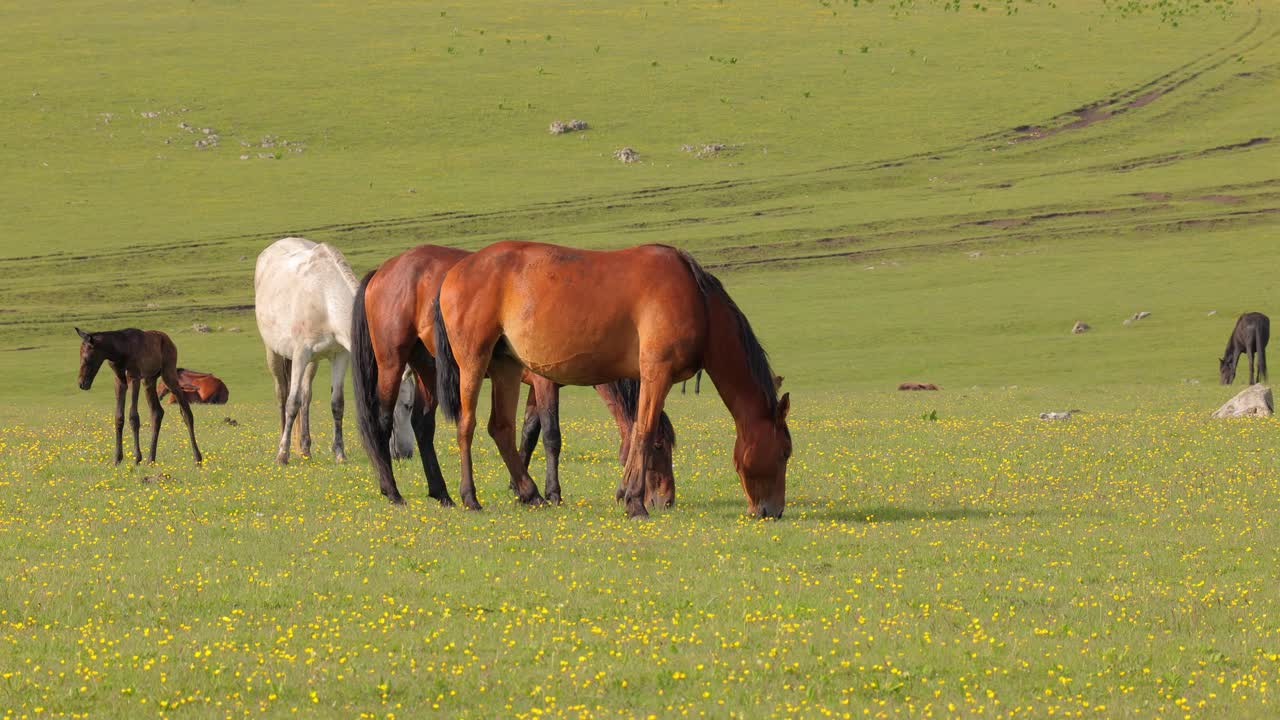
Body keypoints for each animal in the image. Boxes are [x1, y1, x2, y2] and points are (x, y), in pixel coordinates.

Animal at [75, 327, 203, 465]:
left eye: (87, 358)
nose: (82, 383)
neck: (118, 351)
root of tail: (171, 342)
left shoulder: (134, 376)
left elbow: (133, 417)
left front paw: (137, 457)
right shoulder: (119, 380)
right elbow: (119, 417)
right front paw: (117, 458)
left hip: (168, 375)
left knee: (186, 412)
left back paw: (197, 458)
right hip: (149, 380)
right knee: (157, 412)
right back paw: (150, 459)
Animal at [351, 244, 676, 507]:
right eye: (658, 447)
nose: (667, 500)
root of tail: (383, 270)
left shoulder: (535, 387)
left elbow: (528, 432)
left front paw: (521, 488)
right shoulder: (545, 384)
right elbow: (551, 436)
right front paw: (552, 493)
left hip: (427, 370)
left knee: (422, 424)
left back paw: (442, 493)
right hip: (392, 363)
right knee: (382, 421)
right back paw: (392, 491)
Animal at [433, 241, 790, 519]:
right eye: (785, 452)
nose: (772, 511)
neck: (698, 301)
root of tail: (456, 271)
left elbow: (632, 435)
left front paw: (626, 494)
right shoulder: (656, 373)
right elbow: (643, 432)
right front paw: (635, 501)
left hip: (505, 367)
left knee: (501, 428)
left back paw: (530, 493)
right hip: (473, 362)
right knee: (466, 425)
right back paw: (469, 497)